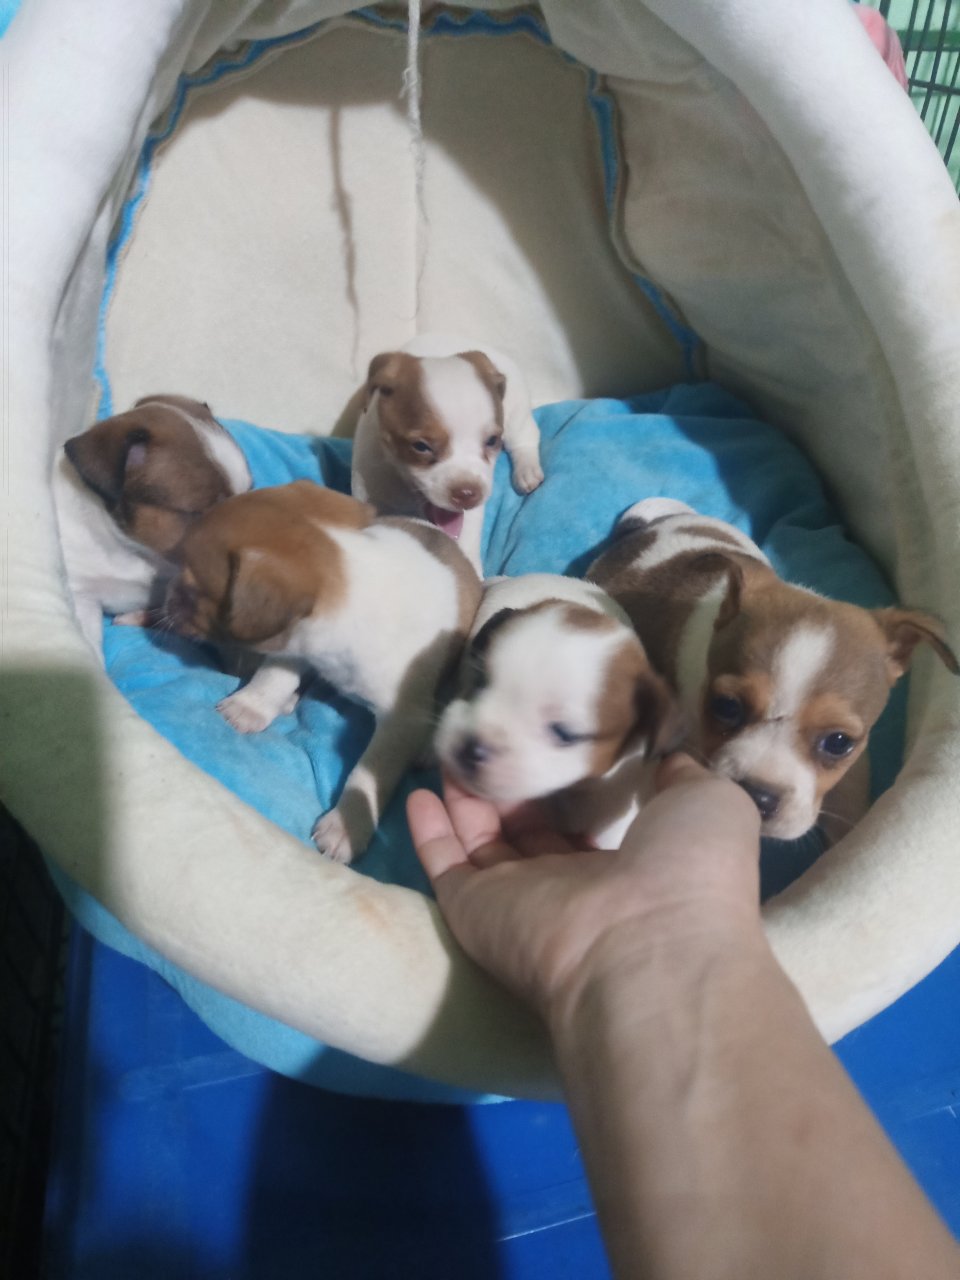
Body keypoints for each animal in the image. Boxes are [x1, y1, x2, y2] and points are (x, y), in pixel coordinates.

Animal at [164, 480, 482, 863]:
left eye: (190, 592)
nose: (163, 597)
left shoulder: (401, 720)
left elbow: (368, 774)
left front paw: (347, 824)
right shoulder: (295, 645)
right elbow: (274, 676)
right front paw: (251, 706)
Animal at [350, 333, 544, 576]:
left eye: (492, 441)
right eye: (421, 446)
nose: (467, 493)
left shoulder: (469, 517)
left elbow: (466, 541)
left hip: (516, 411)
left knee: (526, 436)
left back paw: (527, 470)